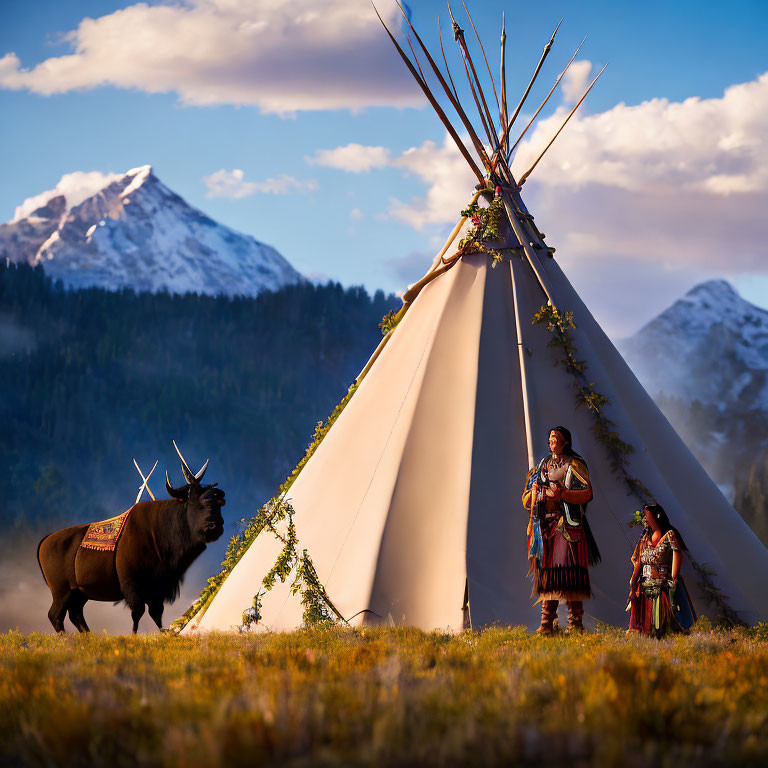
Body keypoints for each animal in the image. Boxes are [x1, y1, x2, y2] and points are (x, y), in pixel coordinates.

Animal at [37, 448, 224, 632]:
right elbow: (138, 613)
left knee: (75, 614)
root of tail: (45, 540)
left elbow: (156, 614)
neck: (158, 529)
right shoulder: (132, 585)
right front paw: (135, 635)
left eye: (218, 502)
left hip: (79, 593)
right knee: (55, 615)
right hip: (62, 591)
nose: (215, 525)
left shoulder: (157, 589)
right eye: (194, 501)